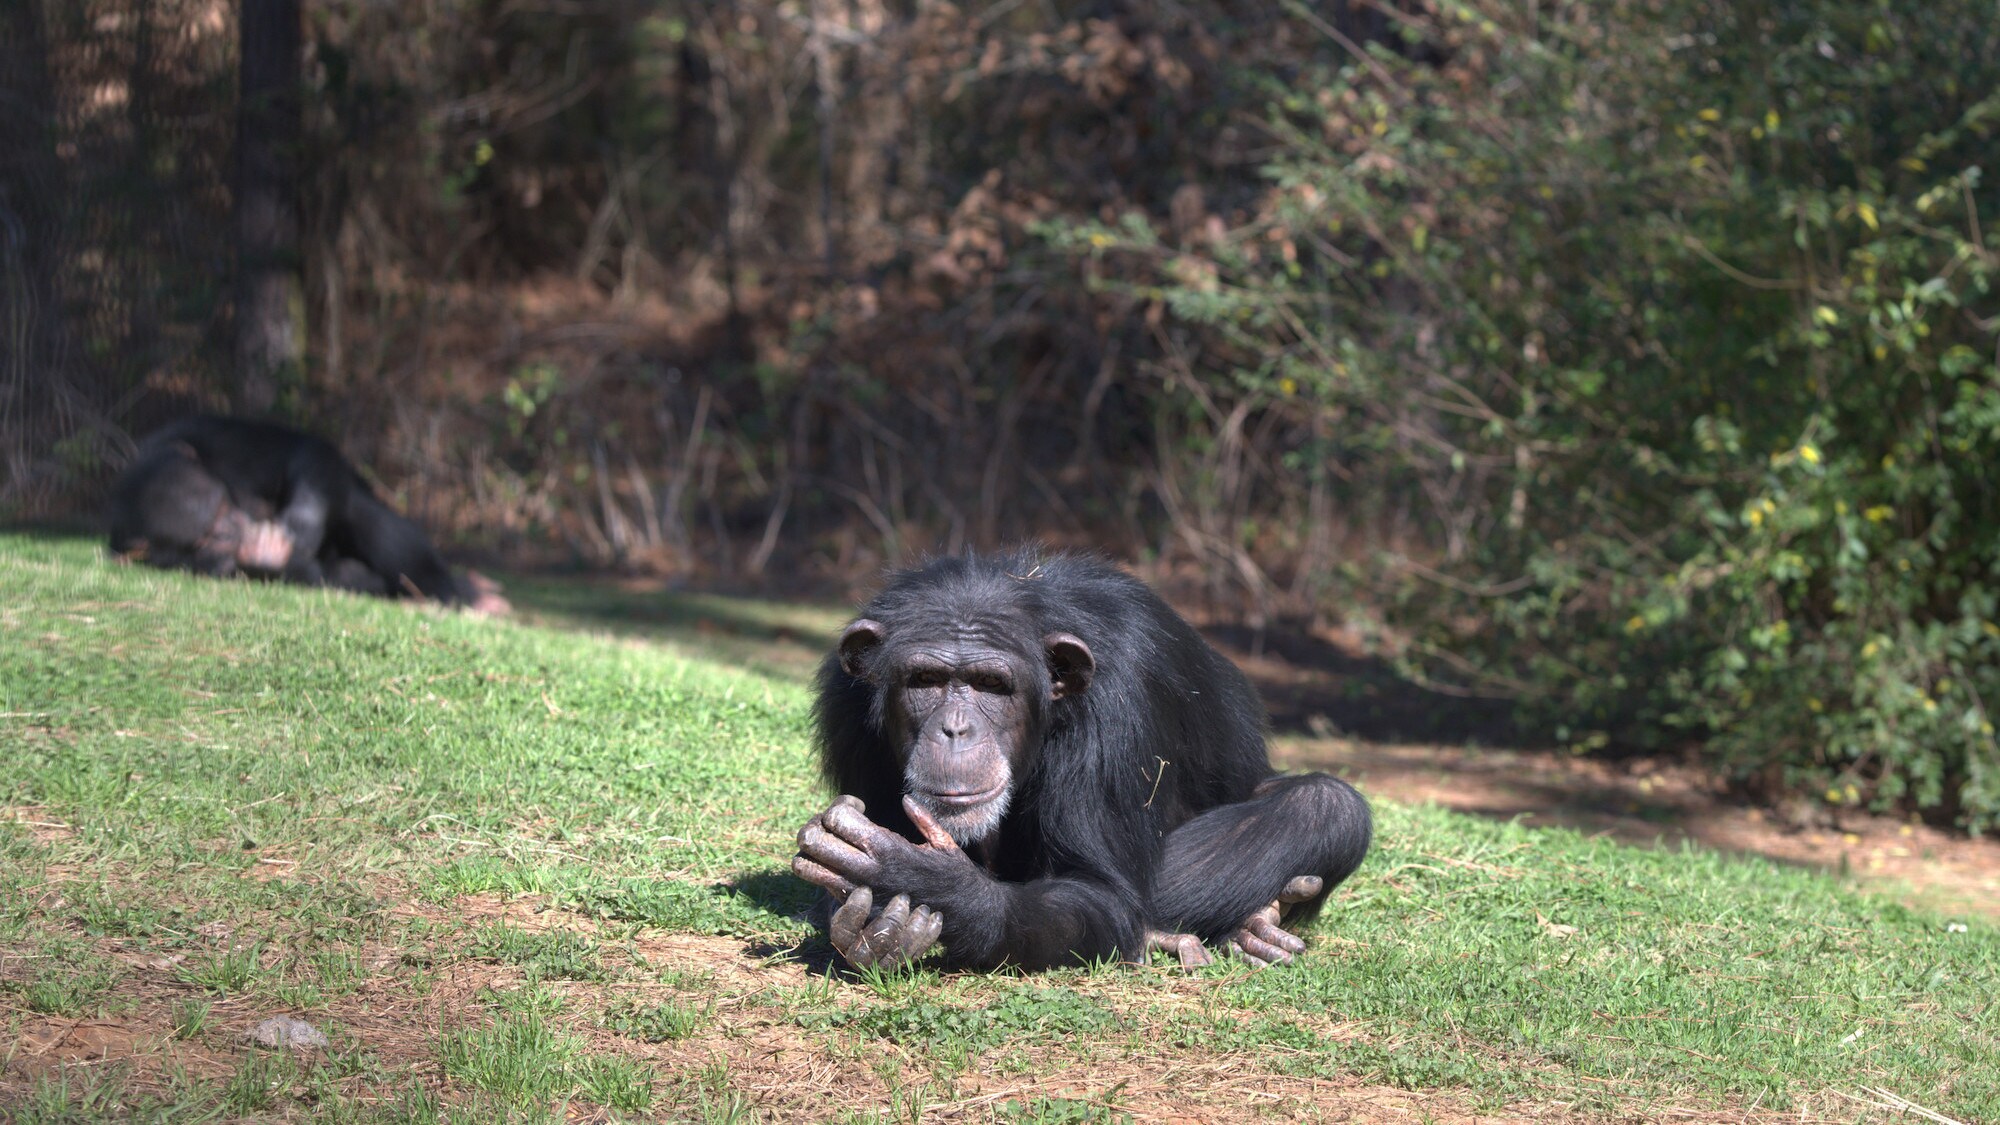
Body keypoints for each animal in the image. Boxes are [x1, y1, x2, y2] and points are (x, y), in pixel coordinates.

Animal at [102, 410, 512, 608]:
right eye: (210, 534)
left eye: (222, 506)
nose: (234, 528)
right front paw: (265, 554)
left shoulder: (214, 434)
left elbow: (302, 451)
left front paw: (297, 526)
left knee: (362, 512)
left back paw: (455, 592)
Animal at [796, 548, 1376, 968]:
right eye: (924, 680)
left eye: (991, 684)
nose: (955, 728)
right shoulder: (847, 703)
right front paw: (880, 926)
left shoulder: (1120, 695)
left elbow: (1102, 894)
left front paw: (925, 882)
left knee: (1327, 803)